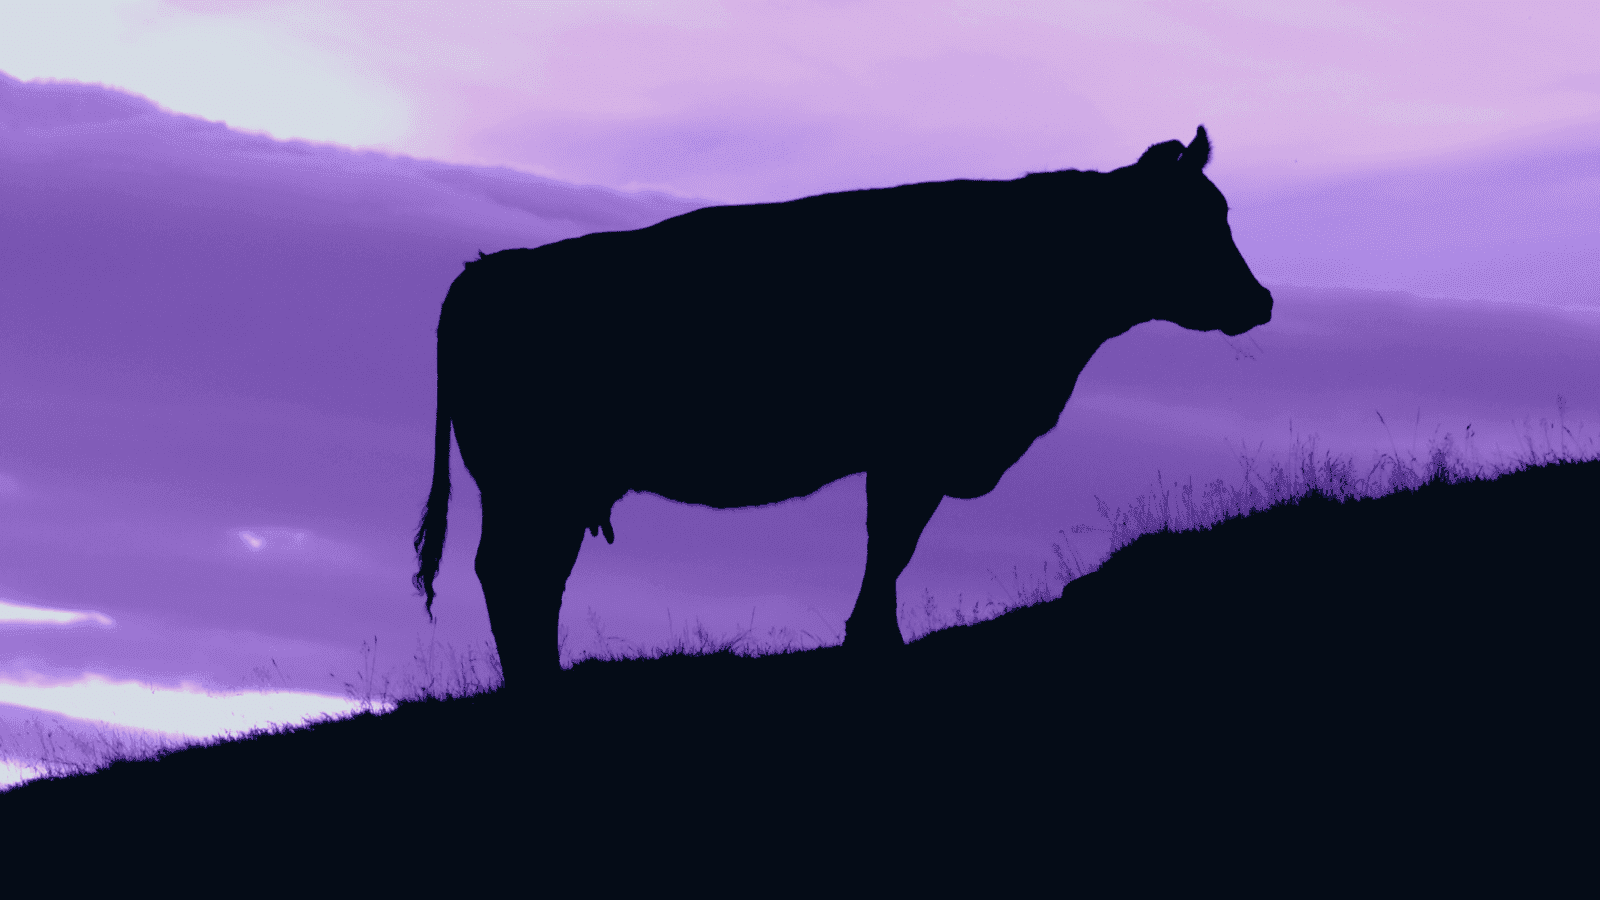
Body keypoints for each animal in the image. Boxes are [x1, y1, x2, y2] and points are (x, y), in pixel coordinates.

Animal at [414, 126, 1273, 691]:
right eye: (1193, 220)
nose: (1261, 300)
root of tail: (484, 271)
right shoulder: (912, 448)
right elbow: (891, 542)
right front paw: (875, 641)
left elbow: (889, 543)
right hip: (531, 483)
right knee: (513, 573)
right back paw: (535, 685)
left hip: (548, 489)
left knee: (532, 576)